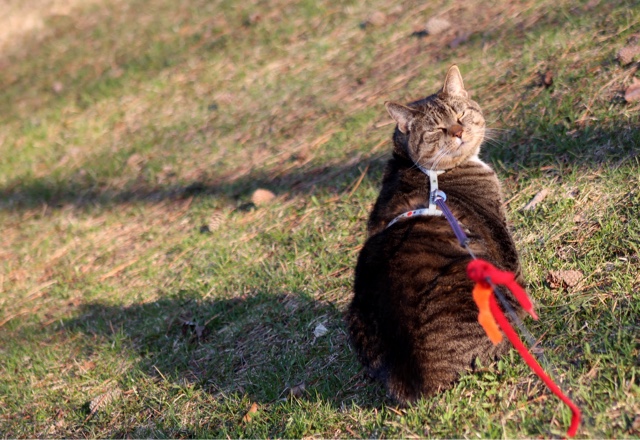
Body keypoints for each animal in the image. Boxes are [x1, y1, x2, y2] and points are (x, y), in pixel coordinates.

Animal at [347, 65, 525, 404]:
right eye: (438, 129)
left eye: (461, 113)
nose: (457, 132)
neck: (428, 174)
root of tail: (420, 381)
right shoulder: (499, 233)